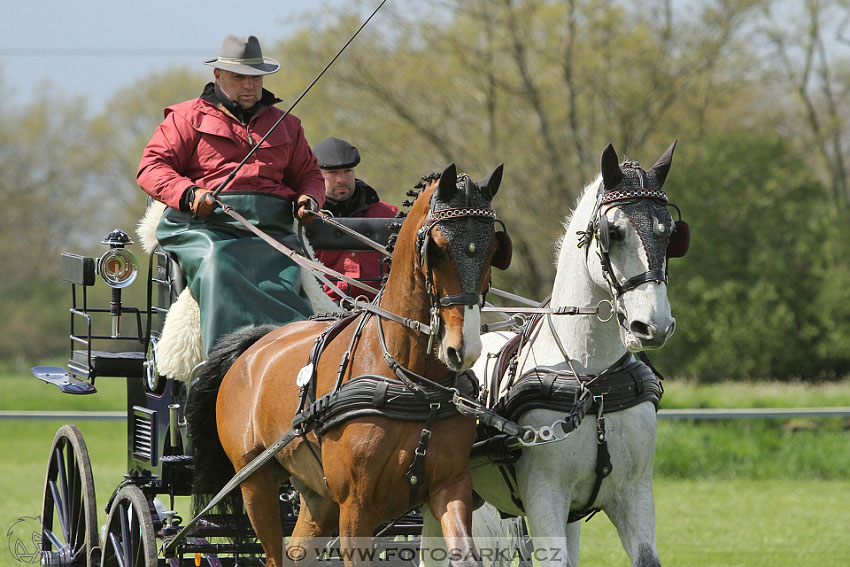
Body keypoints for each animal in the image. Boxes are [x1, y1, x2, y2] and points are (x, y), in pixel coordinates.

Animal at [189, 162, 506, 564]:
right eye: (437, 249)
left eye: (493, 249)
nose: (461, 348)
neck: (411, 382)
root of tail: (255, 343)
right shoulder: (356, 505)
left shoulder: (451, 487)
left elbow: (464, 551)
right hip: (255, 484)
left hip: (317, 496)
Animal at [420, 141, 684, 567]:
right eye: (613, 232)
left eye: (671, 233)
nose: (653, 326)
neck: (591, 381)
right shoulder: (545, 498)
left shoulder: (634, 494)